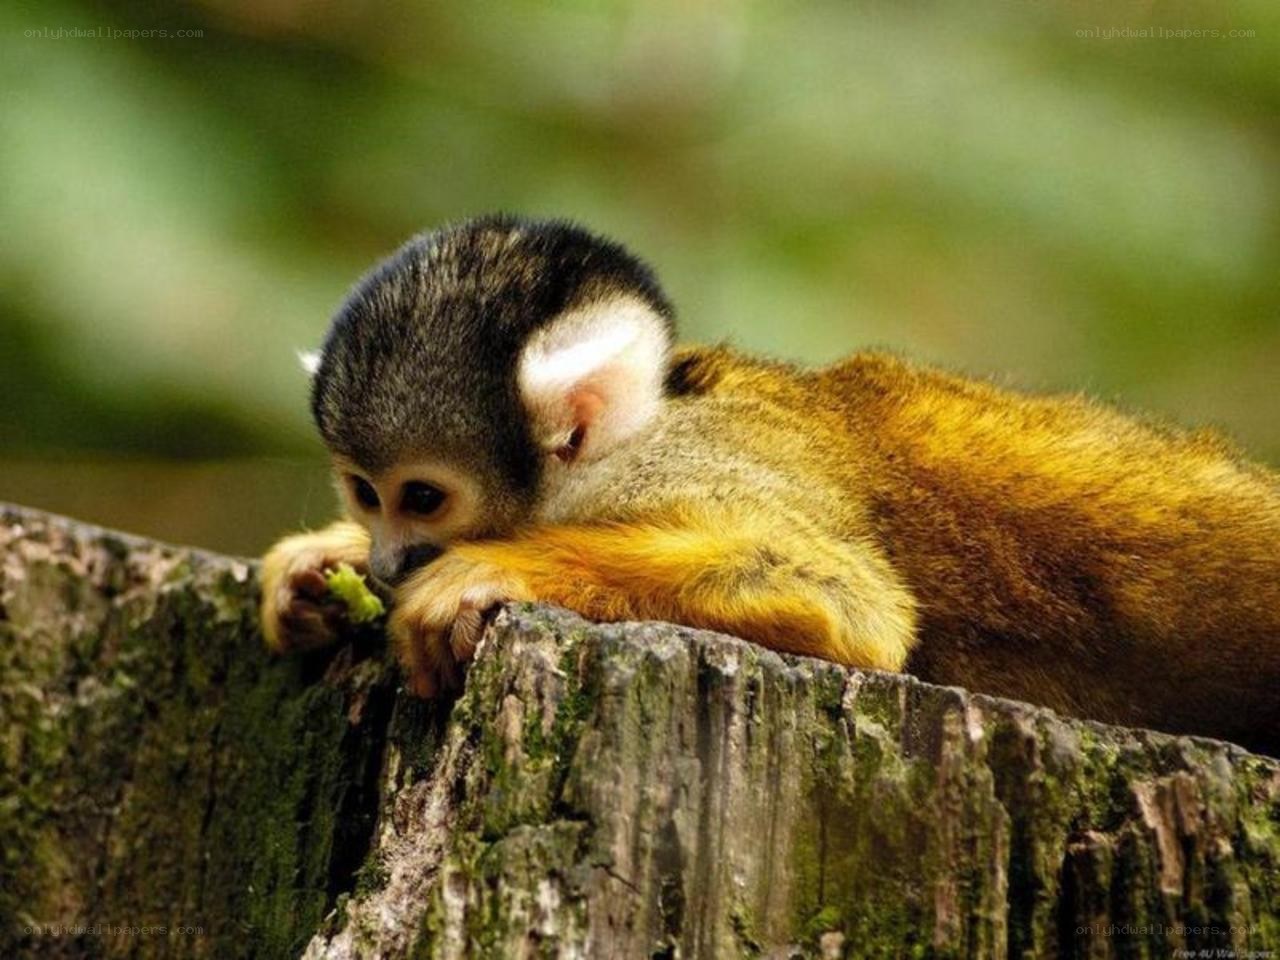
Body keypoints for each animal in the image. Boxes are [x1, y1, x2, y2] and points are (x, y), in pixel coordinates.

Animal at [260, 214, 1280, 757]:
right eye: (364, 493)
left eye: (422, 497)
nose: (388, 561)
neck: (639, 435)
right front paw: (318, 568)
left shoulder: (692, 467)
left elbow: (845, 603)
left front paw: (483, 574)